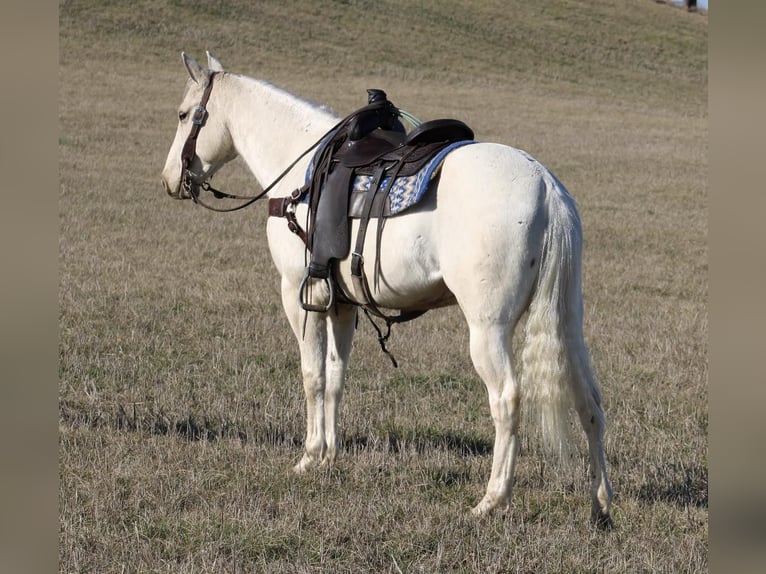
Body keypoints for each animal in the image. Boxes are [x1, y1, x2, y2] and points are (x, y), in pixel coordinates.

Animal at [159, 51, 616, 528]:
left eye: (184, 115)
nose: (169, 178)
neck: (300, 170)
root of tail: (546, 186)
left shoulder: (298, 297)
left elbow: (312, 376)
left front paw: (308, 456)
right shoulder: (341, 305)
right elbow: (335, 377)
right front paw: (329, 456)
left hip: (488, 328)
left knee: (507, 400)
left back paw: (492, 499)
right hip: (567, 321)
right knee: (590, 401)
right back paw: (600, 502)